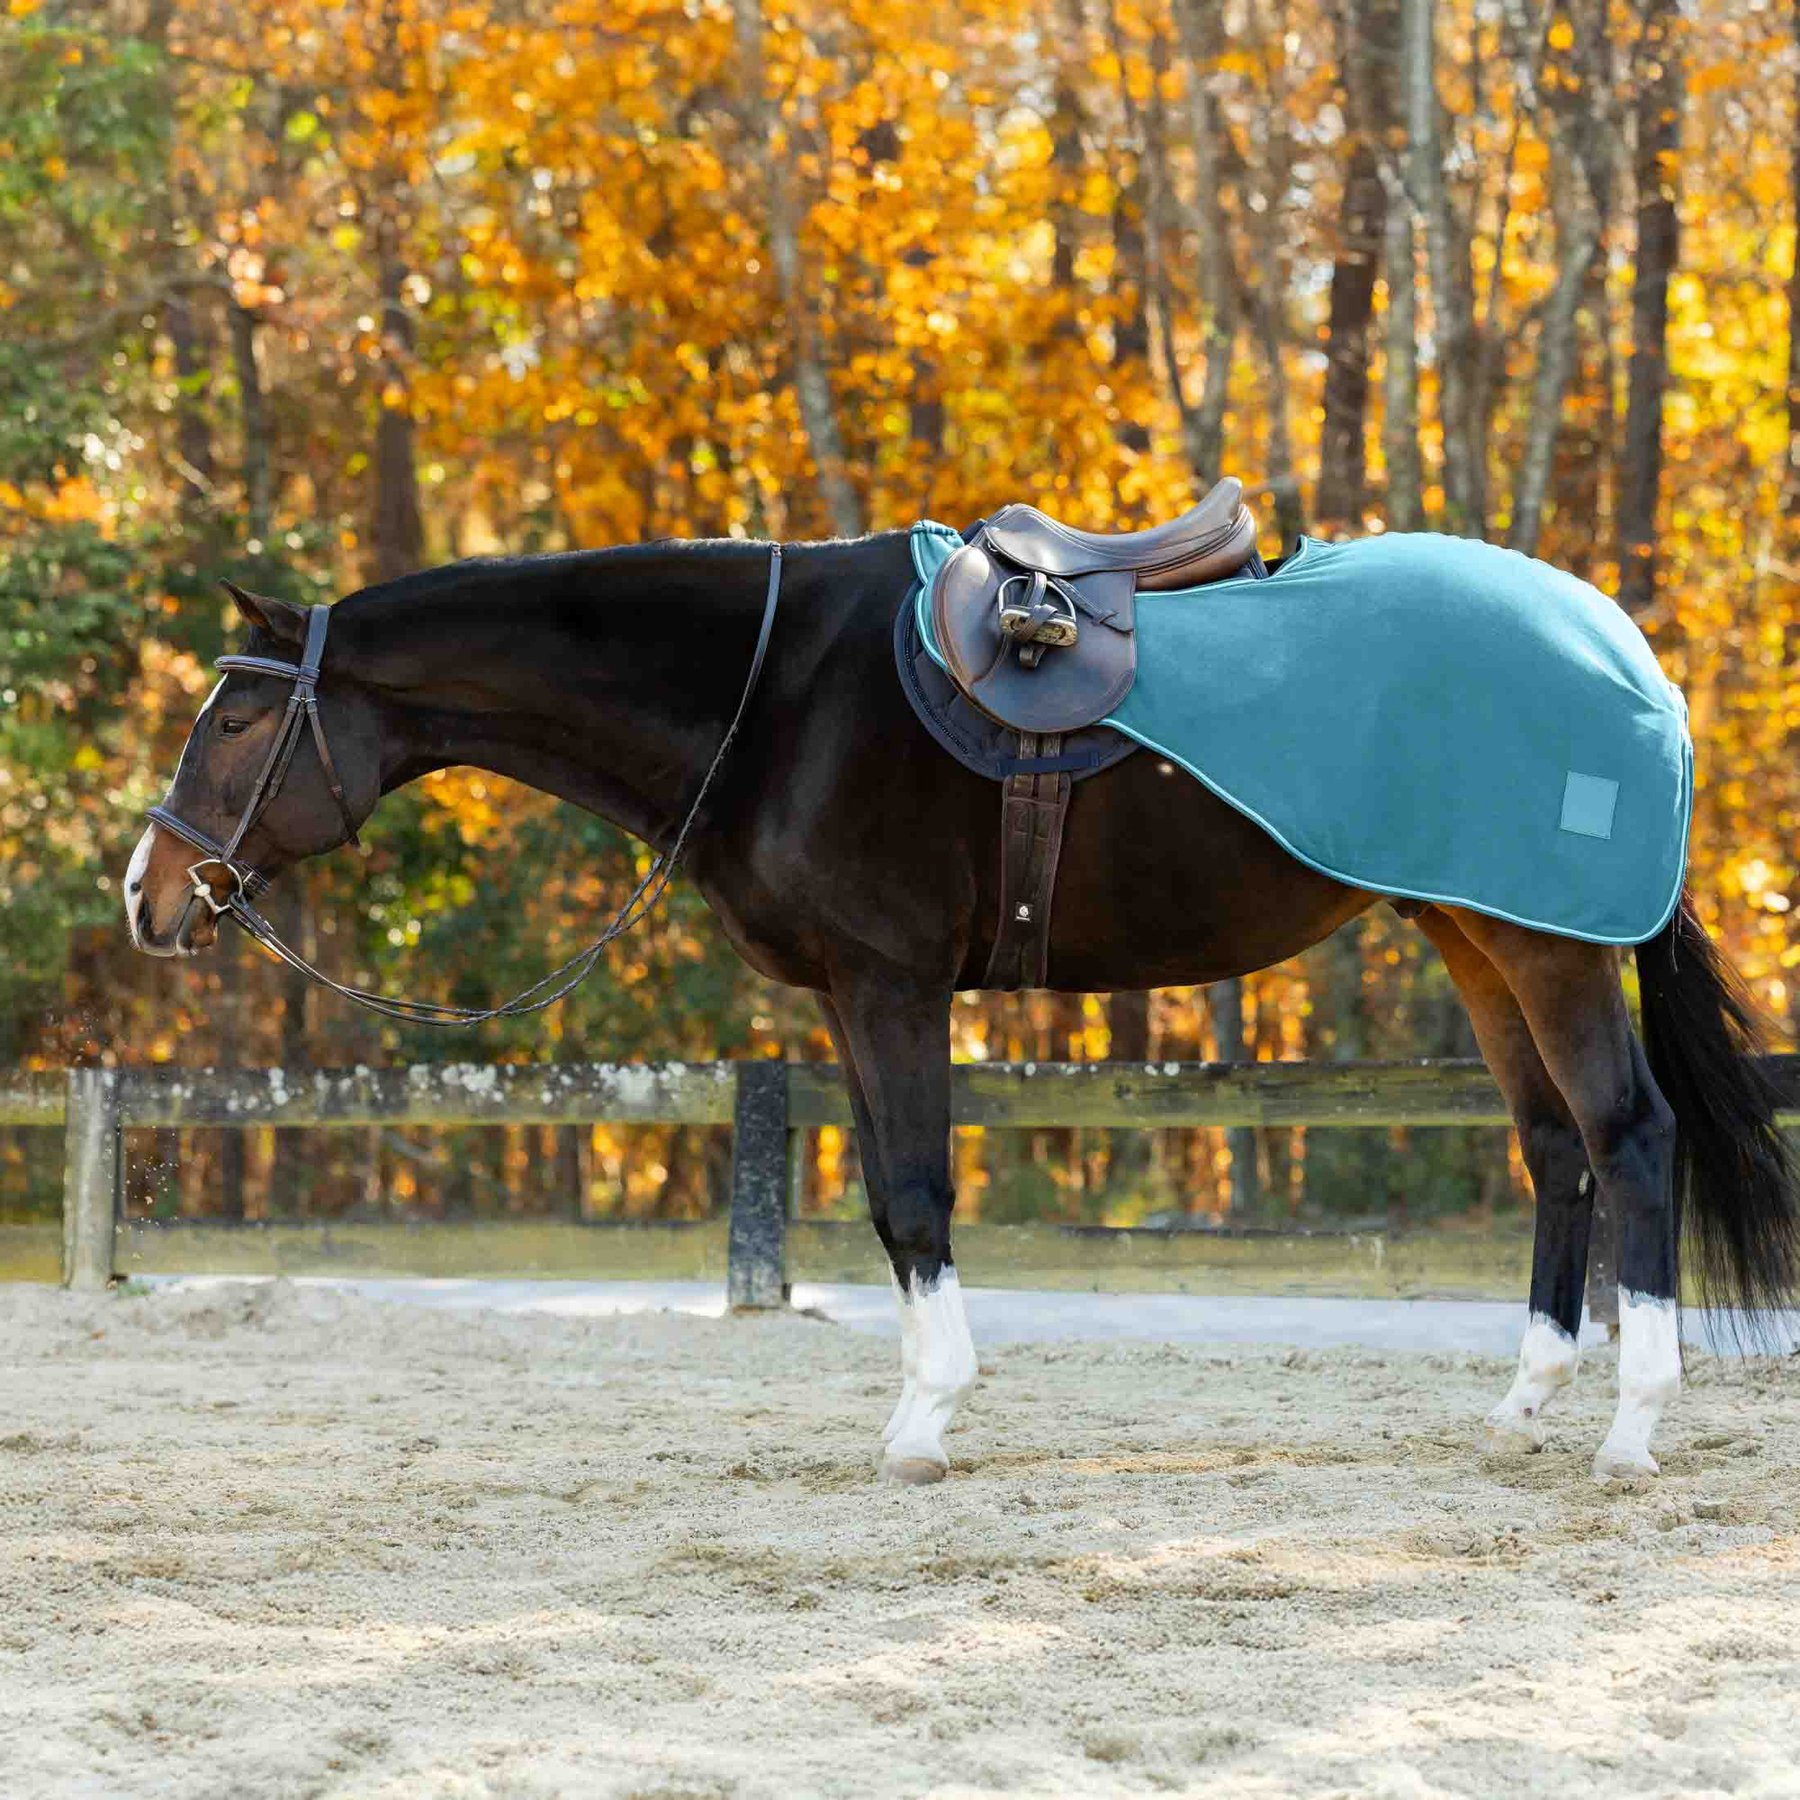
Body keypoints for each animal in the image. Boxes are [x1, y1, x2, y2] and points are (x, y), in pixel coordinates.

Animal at [124, 532, 1798, 1484]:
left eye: (237, 716)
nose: (149, 893)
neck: (775, 691)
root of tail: (1624, 648)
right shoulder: (854, 998)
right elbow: (886, 1199)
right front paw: (921, 1409)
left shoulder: (893, 984)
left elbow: (918, 1194)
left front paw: (925, 1426)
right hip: (1478, 934)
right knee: (1555, 1151)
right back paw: (1522, 1410)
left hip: (1545, 947)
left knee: (1628, 1140)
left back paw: (1630, 1434)